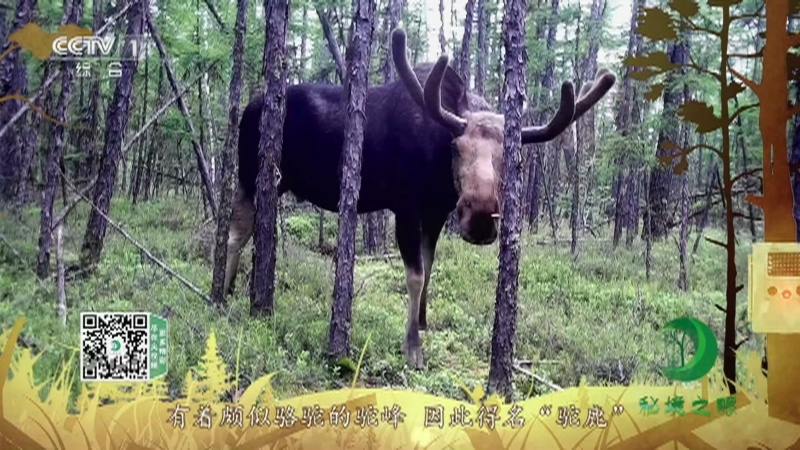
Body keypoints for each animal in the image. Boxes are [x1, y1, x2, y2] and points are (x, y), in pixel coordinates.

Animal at [223, 28, 616, 369]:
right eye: (457, 147)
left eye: (512, 156)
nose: (480, 216)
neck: (439, 171)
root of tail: (247, 108)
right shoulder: (407, 207)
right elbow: (414, 275)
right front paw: (412, 347)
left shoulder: (437, 211)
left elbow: (429, 267)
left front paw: (424, 321)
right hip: (249, 175)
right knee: (235, 232)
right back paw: (222, 294)